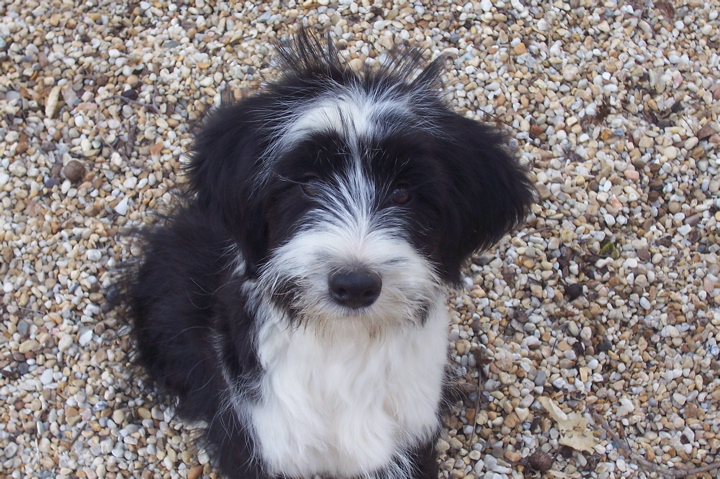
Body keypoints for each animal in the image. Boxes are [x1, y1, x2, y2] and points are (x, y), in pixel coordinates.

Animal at [126, 31, 536, 479]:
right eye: (307, 184)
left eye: (403, 193)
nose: (355, 285)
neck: (343, 344)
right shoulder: (266, 440)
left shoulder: (407, 440)